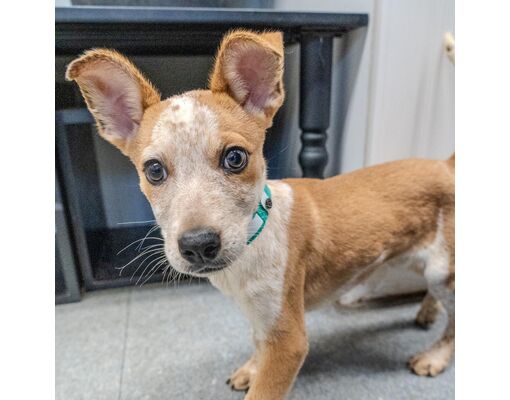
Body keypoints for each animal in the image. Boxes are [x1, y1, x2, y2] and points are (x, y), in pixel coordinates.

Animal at [66, 28, 454, 400]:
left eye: (235, 157)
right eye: (154, 171)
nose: (198, 245)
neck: (254, 239)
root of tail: (446, 164)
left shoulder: (289, 340)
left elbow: (266, 385)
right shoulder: (258, 314)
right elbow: (256, 341)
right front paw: (252, 367)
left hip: (440, 270)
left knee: (455, 322)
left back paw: (434, 356)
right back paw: (426, 312)